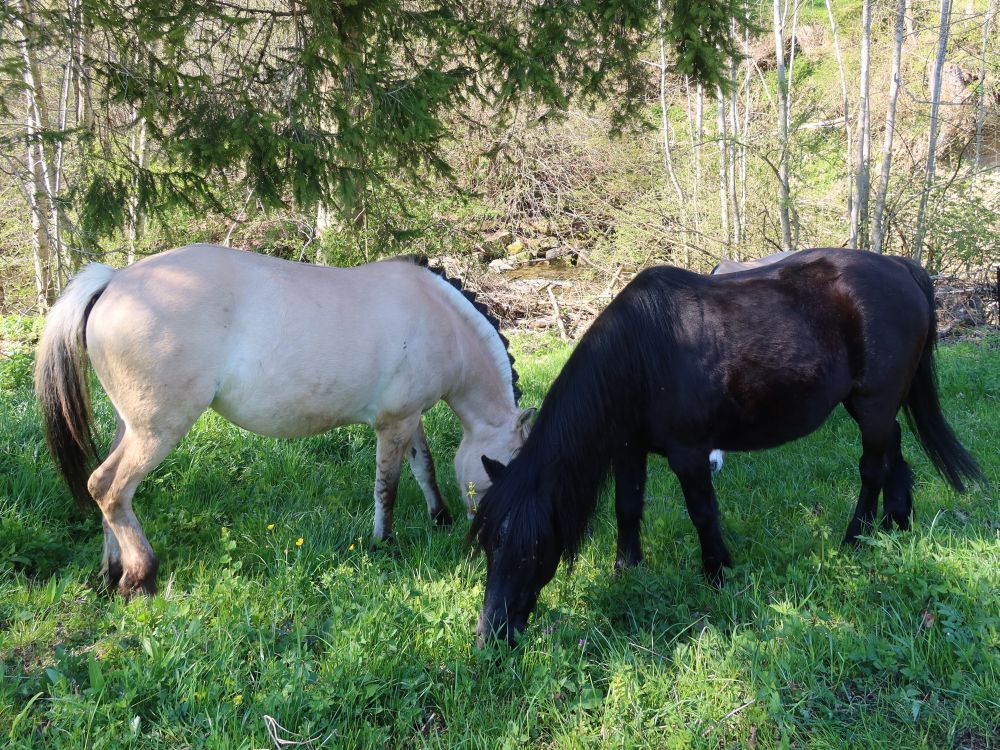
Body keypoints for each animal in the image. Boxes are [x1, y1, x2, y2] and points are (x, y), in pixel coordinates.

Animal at [35, 244, 535, 597]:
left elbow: (424, 467)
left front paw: (439, 518)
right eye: (500, 470)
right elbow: (387, 488)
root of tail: (114, 279)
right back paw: (140, 577)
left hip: (132, 427)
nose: (485, 543)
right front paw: (382, 542)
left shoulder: (410, 418)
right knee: (109, 487)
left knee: (111, 493)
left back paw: (113, 570)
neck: (438, 317)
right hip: (157, 432)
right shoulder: (393, 422)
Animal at [469, 248, 984, 644]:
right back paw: (897, 524)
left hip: (874, 404)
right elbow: (627, 508)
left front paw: (718, 573)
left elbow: (702, 513)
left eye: (532, 550)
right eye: (490, 546)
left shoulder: (689, 455)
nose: (491, 636)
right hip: (869, 406)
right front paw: (627, 571)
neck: (641, 354)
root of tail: (902, 267)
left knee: (872, 467)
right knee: (893, 450)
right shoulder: (629, 449)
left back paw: (855, 538)